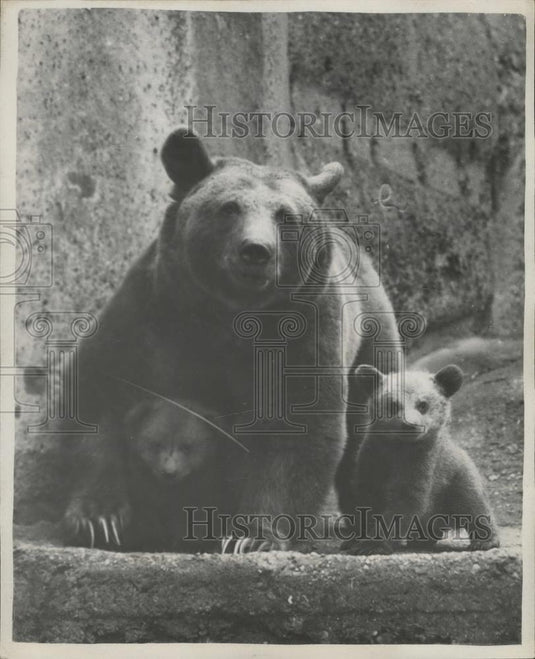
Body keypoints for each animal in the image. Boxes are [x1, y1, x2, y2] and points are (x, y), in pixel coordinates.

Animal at [62, 127, 400, 552]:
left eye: (285, 216)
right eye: (229, 208)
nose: (256, 251)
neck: (227, 316)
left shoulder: (304, 330)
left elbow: (299, 423)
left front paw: (252, 536)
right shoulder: (149, 311)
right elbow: (98, 388)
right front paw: (99, 518)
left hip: (372, 339)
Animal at [340, 363, 500, 555]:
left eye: (423, 405)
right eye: (393, 404)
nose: (410, 425)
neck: (398, 447)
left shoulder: (421, 461)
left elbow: (405, 500)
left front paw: (372, 544)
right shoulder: (372, 457)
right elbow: (366, 497)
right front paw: (354, 540)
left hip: (456, 479)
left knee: (474, 504)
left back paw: (484, 541)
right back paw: (421, 539)